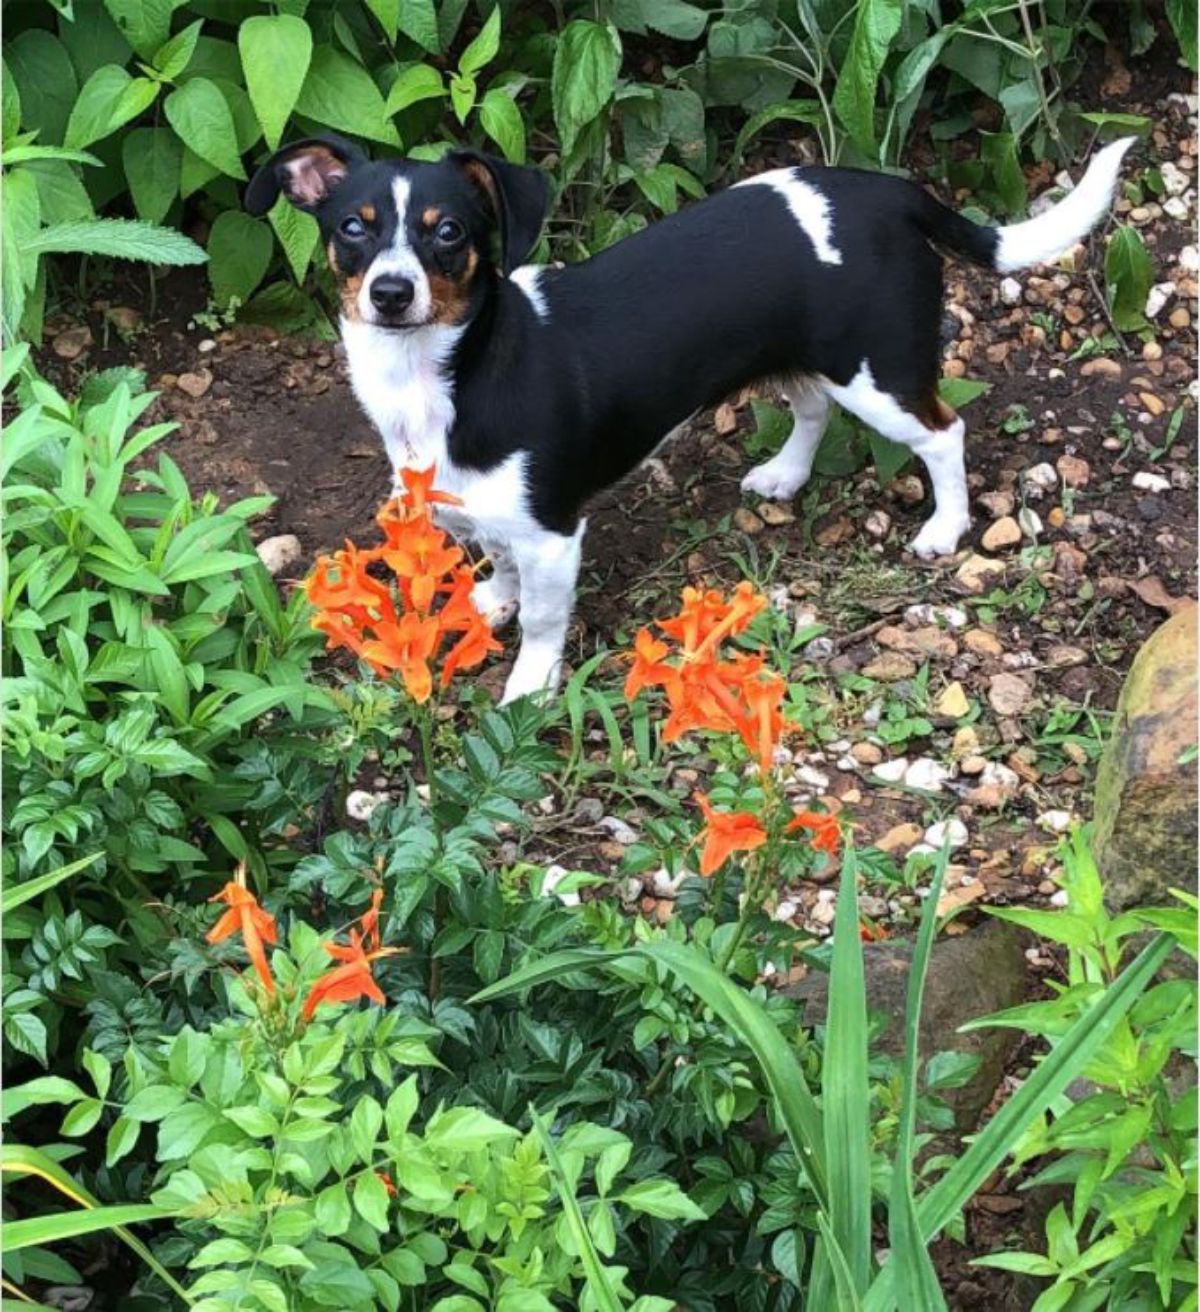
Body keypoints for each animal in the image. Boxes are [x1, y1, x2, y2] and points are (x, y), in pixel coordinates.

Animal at [246, 134, 1133, 708]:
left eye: (450, 233)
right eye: (352, 228)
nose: (392, 292)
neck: (443, 376)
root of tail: (891, 191)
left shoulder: (554, 533)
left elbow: (544, 617)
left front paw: (530, 686)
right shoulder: (488, 512)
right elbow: (496, 558)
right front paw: (492, 595)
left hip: (875, 371)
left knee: (943, 433)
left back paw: (945, 527)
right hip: (800, 358)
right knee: (811, 409)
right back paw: (786, 474)